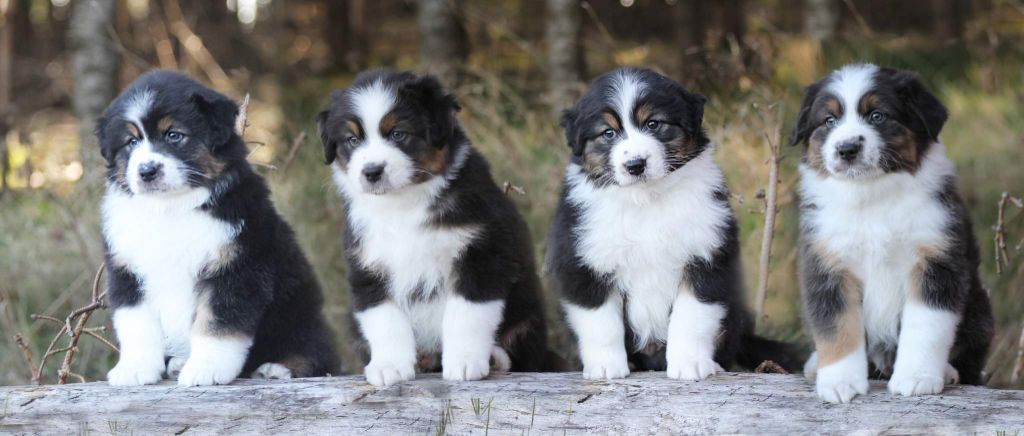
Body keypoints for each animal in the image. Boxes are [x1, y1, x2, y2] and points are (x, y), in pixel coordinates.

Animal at [97, 69, 335, 386]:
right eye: (130, 142)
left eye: (174, 135)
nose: (147, 171)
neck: (171, 208)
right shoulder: (127, 272)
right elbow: (137, 325)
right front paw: (134, 368)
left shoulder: (237, 267)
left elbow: (217, 324)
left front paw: (205, 369)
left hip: (300, 312)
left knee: (318, 350)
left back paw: (278, 368)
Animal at [315, 69, 552, 386]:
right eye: (352, 139)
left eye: (398, 134)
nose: (372, 172)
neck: (403, 205)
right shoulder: (367, 267)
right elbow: (385, 320)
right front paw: (389, 366)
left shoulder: (481, 254)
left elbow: (466, 314)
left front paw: (464, 362)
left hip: (527, 317)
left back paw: (493, 358)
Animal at [548, 66, 794, 380]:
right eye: (608, 132)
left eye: (654, 124)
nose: (635, 165)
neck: (646, 200)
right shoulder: (585, 261)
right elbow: (600, 322)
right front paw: (605, 368)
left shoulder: (705, 255)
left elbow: (692, 317)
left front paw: (690, 364)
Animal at [790, 62, 991, 403]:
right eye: (829, 120)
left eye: (877, 116)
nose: (847, 149)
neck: (872, 195)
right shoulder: (828, 264)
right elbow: (836, 326)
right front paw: (839, 382)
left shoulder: (936, 260)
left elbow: (925, 326)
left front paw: (917, 377)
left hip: (979, 307)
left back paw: (948, 371)